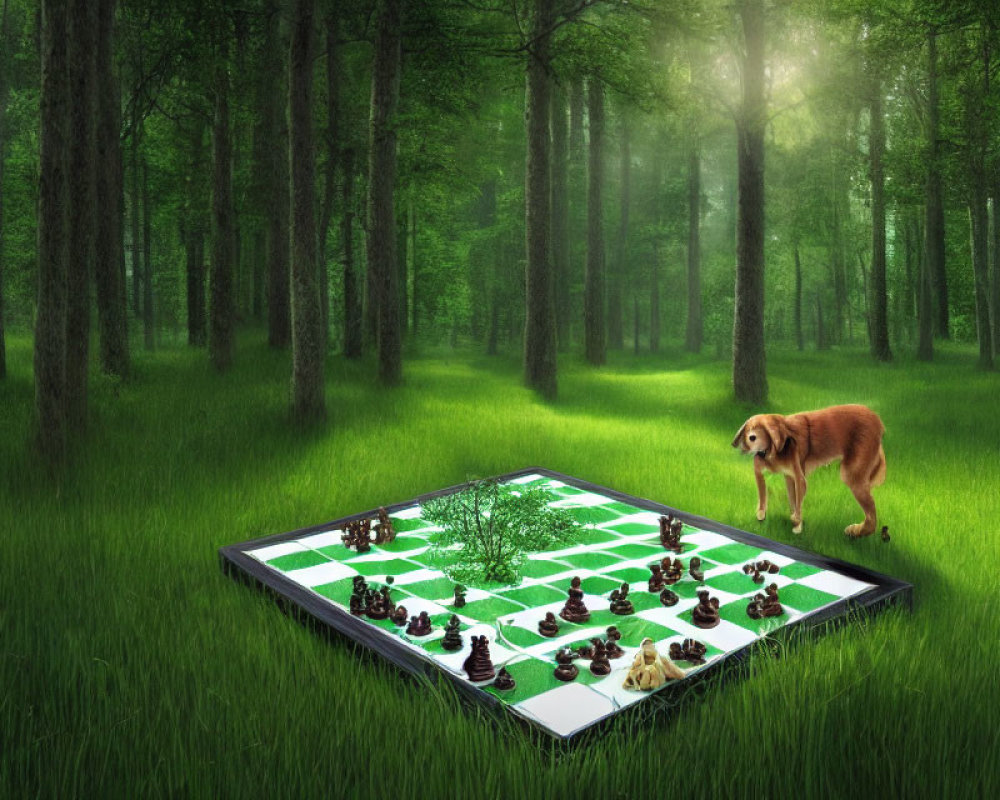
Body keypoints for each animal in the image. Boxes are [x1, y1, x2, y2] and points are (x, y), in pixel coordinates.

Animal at [732, 406, 888, 536]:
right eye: (744, 437)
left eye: (752, 438)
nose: (741, 450)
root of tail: (878, 421)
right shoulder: (788, 477)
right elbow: (790, 500)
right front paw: (767, 514)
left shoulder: (799, 479)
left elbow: (797, 503)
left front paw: (797, 525)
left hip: (851, 474)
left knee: (871, 516)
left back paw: (857, 531)